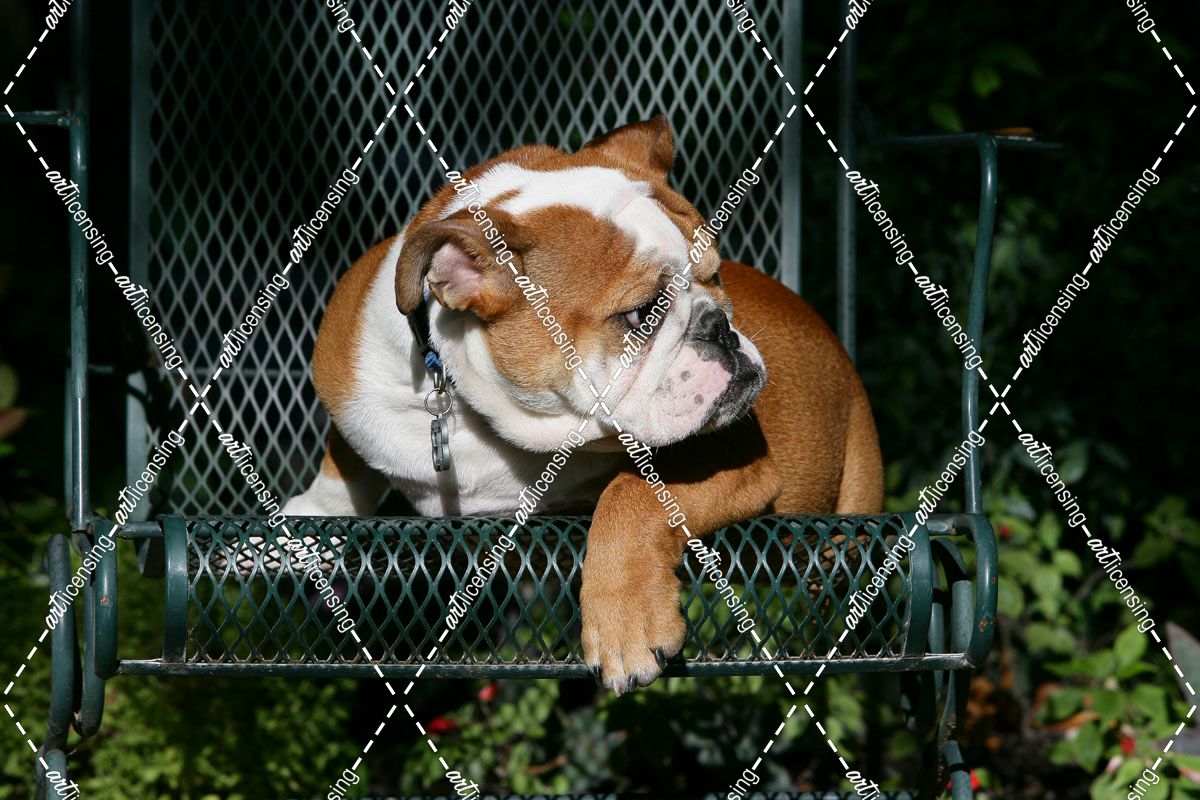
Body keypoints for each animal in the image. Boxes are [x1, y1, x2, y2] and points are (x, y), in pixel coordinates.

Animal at [283, 116, 883, 692]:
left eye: (716, 275)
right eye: (642, 314)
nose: (721, 328)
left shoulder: (730, 453)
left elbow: (633, 495)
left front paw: (624, 625)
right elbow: (345, 463)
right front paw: (313, 511)